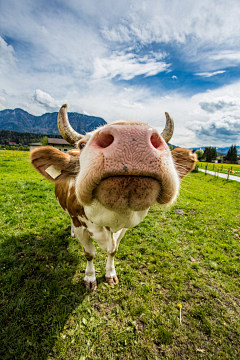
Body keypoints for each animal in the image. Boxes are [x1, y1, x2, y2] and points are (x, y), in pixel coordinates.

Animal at [31, 104, 197, 290]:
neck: (110, 218)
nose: (131, 136)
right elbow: (89, 254)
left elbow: (113, 251)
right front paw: (90, 278)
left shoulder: (123, 228)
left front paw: (110, 274)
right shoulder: (81, 225)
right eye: (82, 144)